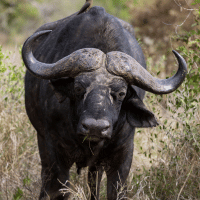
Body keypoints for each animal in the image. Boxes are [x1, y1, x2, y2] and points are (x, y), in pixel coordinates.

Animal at [22, 0, 188, 199]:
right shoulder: (55, 153)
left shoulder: (122, 158)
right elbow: (58, 189)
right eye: (78, 88)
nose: (95, 127)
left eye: (121, 93)